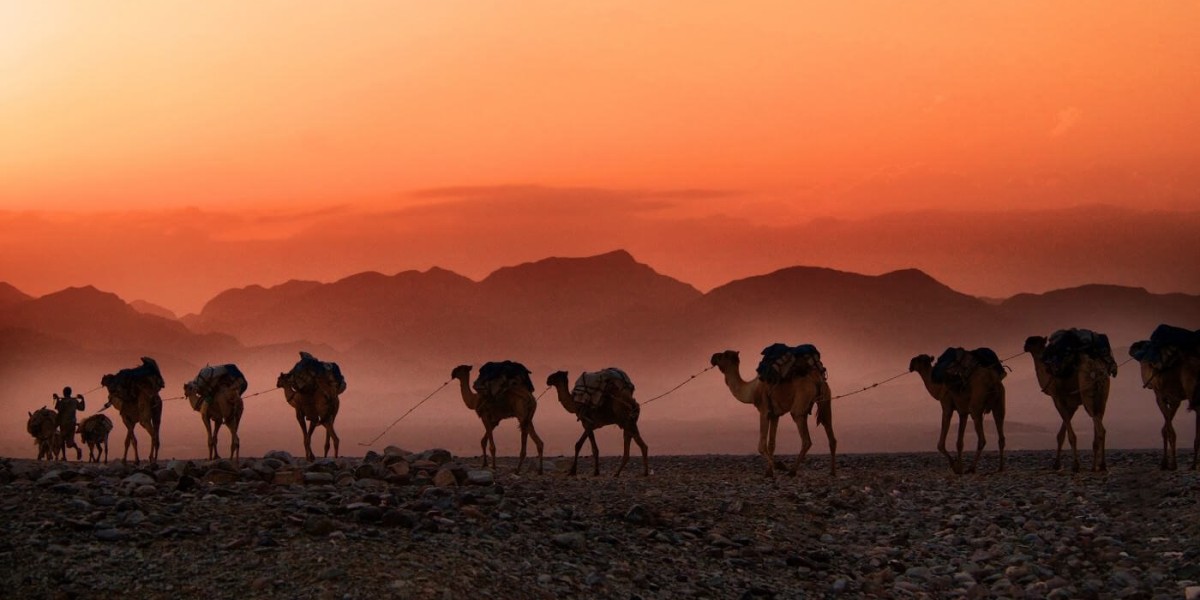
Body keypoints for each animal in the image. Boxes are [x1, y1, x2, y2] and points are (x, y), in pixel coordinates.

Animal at [1024, 335, 1113, 472]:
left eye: (1032, 341)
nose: (1025, 345)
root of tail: (1098, 370)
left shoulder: (1058, 399)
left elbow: (1070, 434)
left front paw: (1075, 465)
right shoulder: (1073, 405)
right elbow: (1061, 434)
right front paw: (1057, 464)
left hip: (1088, 396)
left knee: (1100, 428)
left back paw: (1100, 465)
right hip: (1102, 399)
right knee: (1098, 422)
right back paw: (1097, 466)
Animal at [1130, 340, 1200, 470]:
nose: (1133, 346)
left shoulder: (1165, 397)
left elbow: (1168, 430)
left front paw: (1171, 464)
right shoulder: (1174, 400)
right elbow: (1165, 428)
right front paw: (1166, 463)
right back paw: (1193, 464)